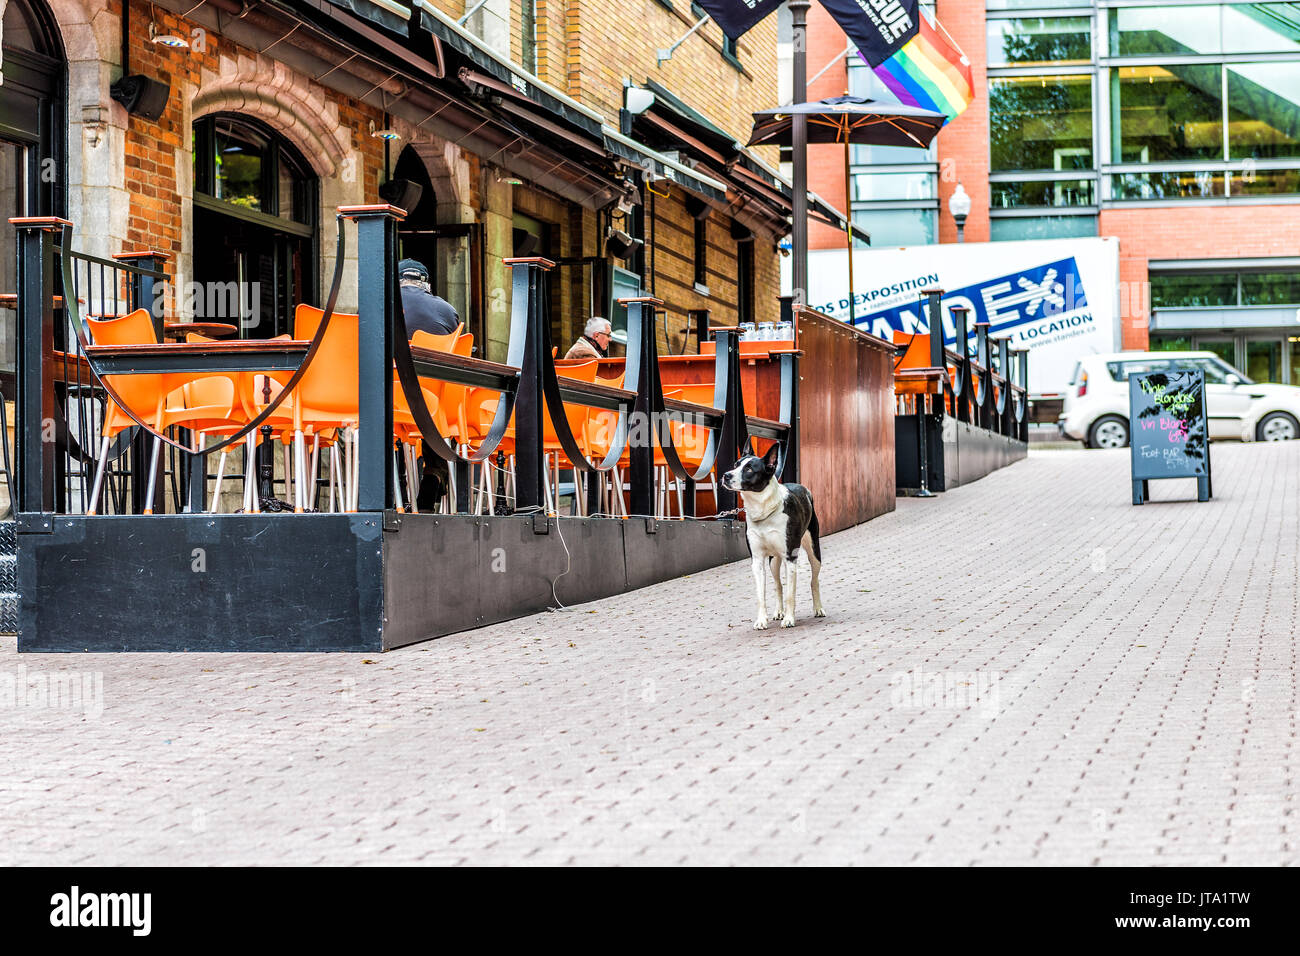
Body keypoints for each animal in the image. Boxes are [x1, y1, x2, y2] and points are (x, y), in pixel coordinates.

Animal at [717, 444, 826, 632]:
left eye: (749, 469)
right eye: (736, 464)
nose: (726, 475)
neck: (763, 510)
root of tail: (804, 488)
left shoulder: (790, 558)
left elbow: (791, 594)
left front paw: (789, 619)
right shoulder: (757, 560)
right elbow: (762, 594)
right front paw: (762, 620)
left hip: (814, 551)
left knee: (814, 580)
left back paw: (818, 608)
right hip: (774, 560)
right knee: (778, 585)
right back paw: (779, 611)